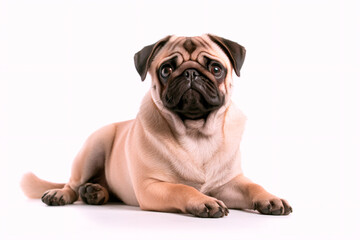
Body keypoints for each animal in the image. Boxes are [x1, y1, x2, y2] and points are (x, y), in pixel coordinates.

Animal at [21, 34, 292, 218]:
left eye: (216, 68)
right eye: (166, 69)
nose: (191, 73)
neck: (196, 133)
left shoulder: (229, 183)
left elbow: (253, 186)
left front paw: (271, 198)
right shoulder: (151, 187)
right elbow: (182, 189)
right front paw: (203, 201)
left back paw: (95, 192)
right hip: (94, 146)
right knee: (72, 184)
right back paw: (62, 194)